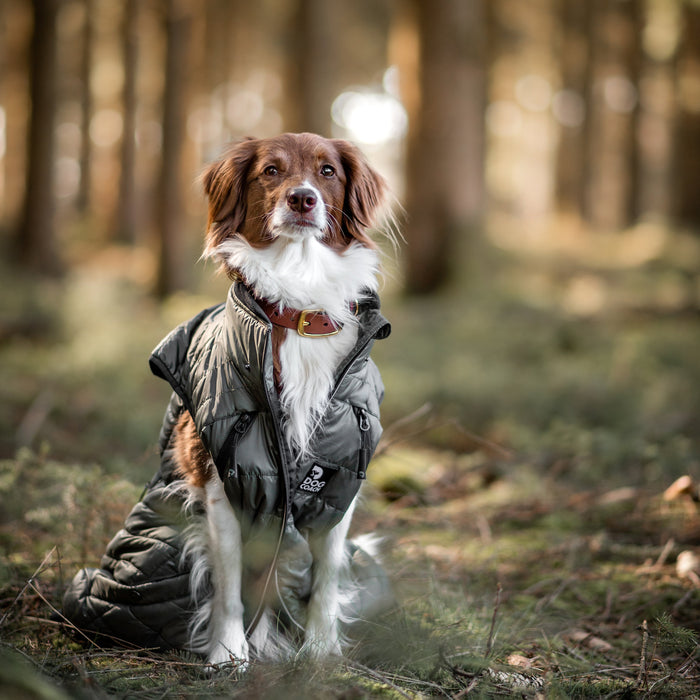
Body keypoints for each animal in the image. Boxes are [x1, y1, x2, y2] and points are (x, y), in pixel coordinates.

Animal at [167, 133, 392, 668]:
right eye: (270, 170)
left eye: (327, 171)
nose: (302, 198)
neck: (300, 300)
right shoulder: (220, 483)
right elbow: (229, 585)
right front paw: (228, 653)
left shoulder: (339, 484)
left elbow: (327, 576)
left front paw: (321, 650)